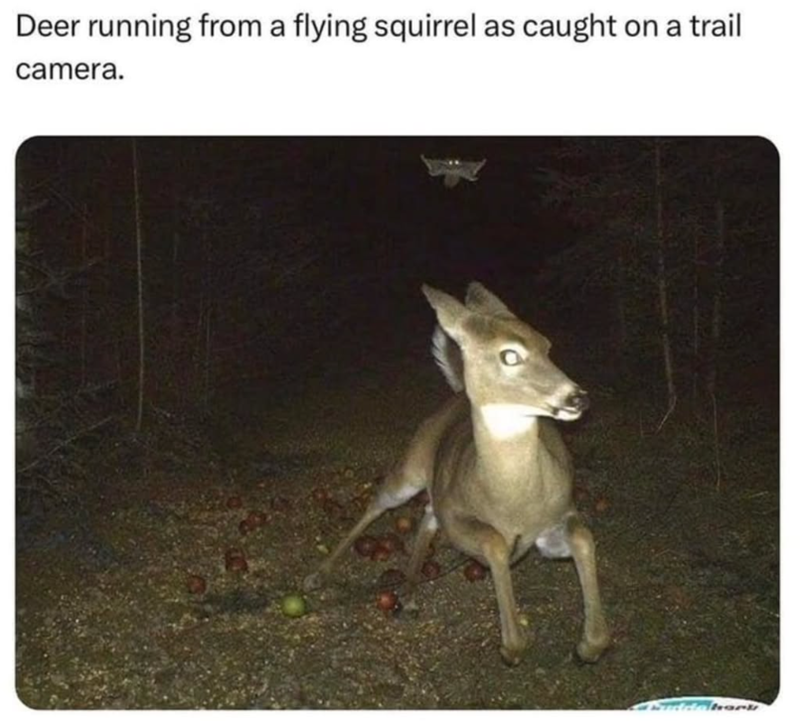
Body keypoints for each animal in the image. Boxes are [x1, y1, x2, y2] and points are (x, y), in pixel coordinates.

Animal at [303, 282, 610, 666]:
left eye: (547, 345)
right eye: (510, 355)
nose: (577, 398)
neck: (513, 502)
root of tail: (458, 394)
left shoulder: (558, 515)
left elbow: (583, 537)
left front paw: (588, 646)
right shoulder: (459, 520)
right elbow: (494, 542)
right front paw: (511, 646)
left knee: (426, 514)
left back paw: (409, 591)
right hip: (412, 464)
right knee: (379, 503)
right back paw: (317, 576)